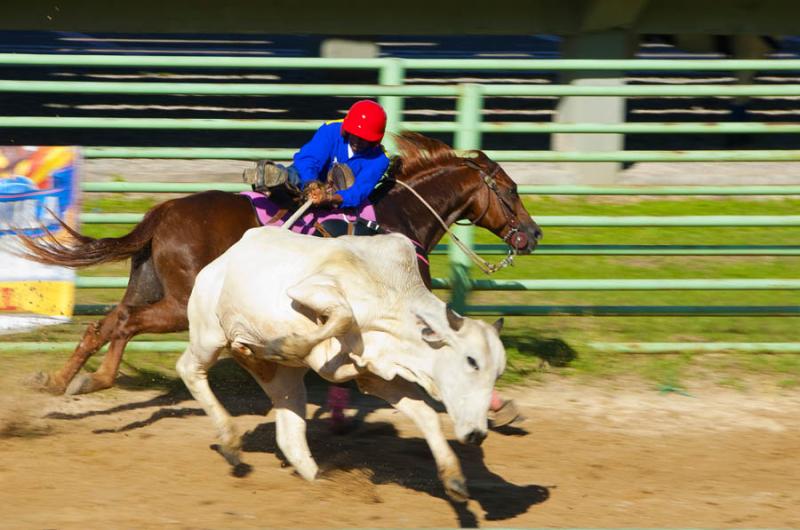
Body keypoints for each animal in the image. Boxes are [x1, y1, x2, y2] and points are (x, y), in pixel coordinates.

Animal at [20, 131, 544, 392]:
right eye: (511, 189)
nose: (534, 234)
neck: (399, 217)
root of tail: (162, 213)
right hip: (180, 303)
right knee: (125, 323)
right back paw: (92, 380)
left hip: (148, 287)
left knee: (107, 323)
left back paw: (63, 380)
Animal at [177, 227, 506, 500]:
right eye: (472, 361)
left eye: (497, 372)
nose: (477, 435)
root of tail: (221, 261)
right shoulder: (309, 289)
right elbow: (343, 315)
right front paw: (284, 344)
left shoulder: (377, 375)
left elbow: (426, 415)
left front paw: (454, 478)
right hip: (208, 336)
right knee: (189, 370)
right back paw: (231, 439)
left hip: (285, 380)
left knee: (290, 435)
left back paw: (321, 481)